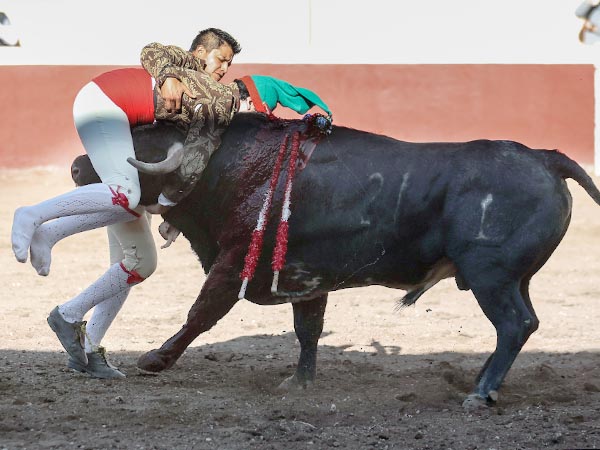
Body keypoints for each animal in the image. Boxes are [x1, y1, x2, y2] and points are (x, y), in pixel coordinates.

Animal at [72, 112, 600, 408]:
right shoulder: (307, 278)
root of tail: (545, 157)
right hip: (514, 278)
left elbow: (201, 313)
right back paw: (481, 383)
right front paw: (299, 383)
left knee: (514, 325)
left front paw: (155, 360)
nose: (77, 166)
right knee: (524, 322)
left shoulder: (234, 261)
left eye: (130, 147)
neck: (230, 165)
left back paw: (479, 392)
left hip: (490, 275)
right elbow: (308, 330)